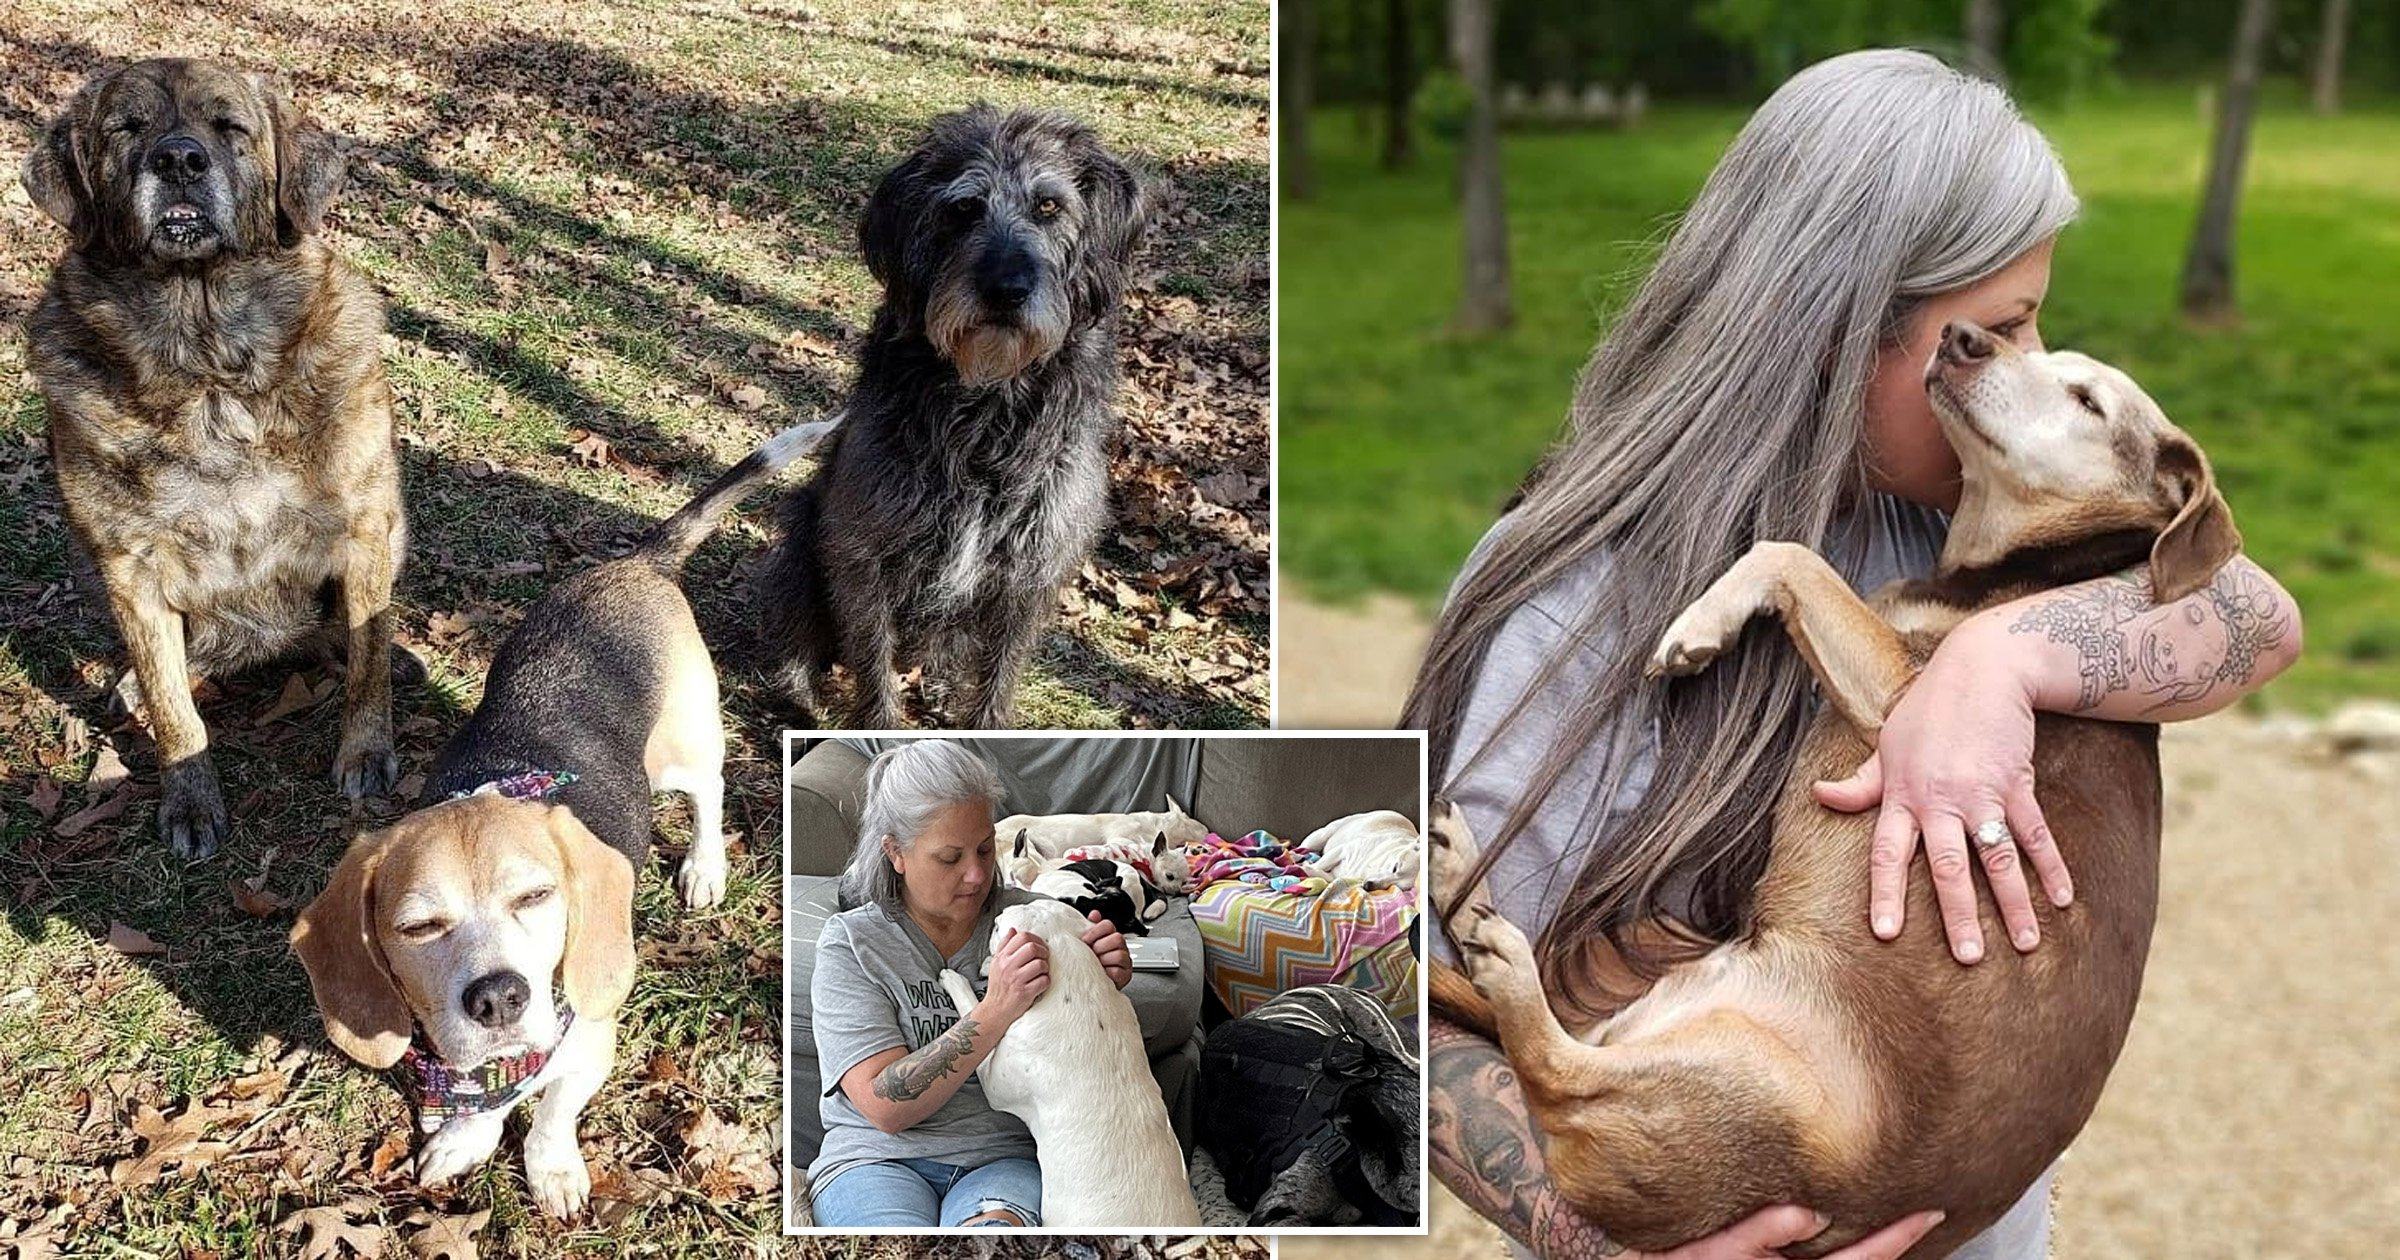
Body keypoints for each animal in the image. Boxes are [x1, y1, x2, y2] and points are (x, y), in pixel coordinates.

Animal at [23, 61, 403, 864]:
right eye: (126, 129)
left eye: (230, 128)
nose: (178, 160)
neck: (208, 366)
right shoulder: (130, 571)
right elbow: (175, 710)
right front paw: (191, 800)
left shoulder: (364, 528)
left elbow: (369, 659)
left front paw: (365, 752)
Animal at [753, 105, 1156, 724]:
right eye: (964, 208)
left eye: (1049, 206)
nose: (1007, 290)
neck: (988, 407)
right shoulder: (862, 549)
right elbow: (873, 663)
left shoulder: (1030, 573)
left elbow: (997, 678)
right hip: (802, 536)